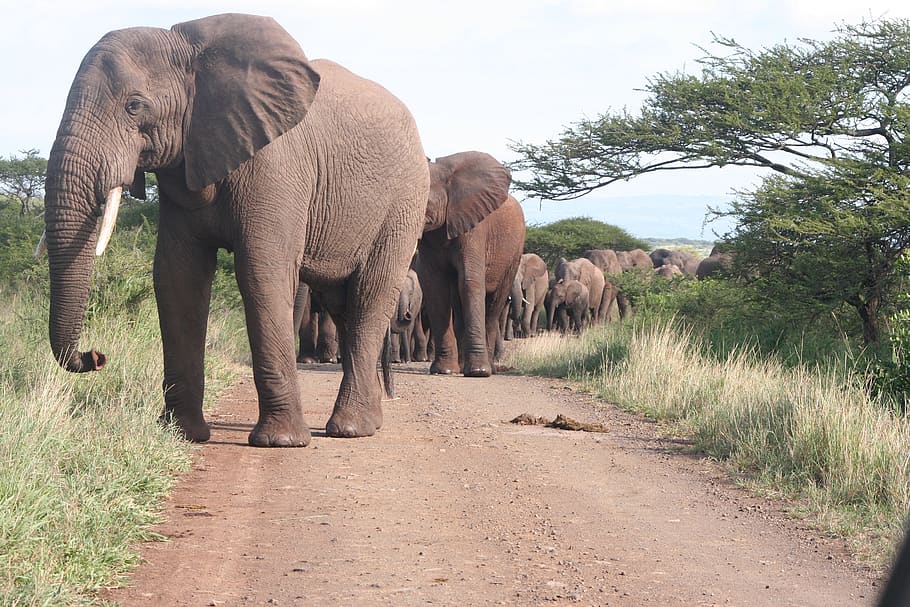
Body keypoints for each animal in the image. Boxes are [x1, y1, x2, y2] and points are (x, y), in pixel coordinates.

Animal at [41, 14, 433, 446]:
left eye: (134, 106)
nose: (96, 357)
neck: (190, 49)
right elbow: (177, 277)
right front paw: (184, 435)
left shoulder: (276, 164)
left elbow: (261, 272)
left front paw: (280, 443)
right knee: (343, 304)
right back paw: (368, 422)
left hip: (404, 203)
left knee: (369, 295)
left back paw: (350, 430)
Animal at [417, 151, 525, 377]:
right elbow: (435, 287)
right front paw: (444, 371)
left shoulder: (474, 227)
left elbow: (470, 282)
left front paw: (478, 372)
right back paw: (460, 366)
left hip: (514, 253)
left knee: (493, 308)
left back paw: (489, 368)